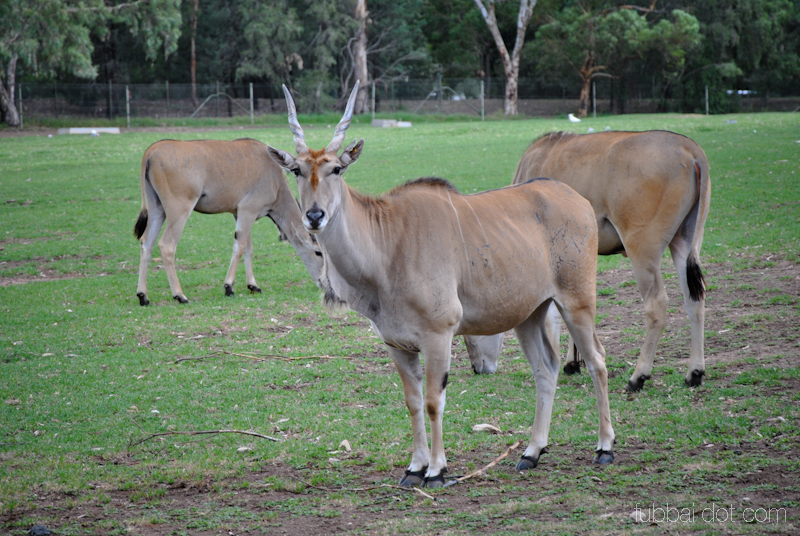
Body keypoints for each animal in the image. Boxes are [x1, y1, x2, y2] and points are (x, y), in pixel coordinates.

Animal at [133, 138, 323, 306]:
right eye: (318, 252)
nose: (323, 282)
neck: (276, 181)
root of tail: (151, 153)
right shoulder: (248, 210)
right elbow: (240, 247)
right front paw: (229, 287)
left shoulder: (239, 213)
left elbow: (248, 248)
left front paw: (253, 285)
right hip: (179, 211)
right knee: (166, 245)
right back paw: (180, 296)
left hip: (157, 209)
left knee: (146, 243)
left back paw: (143, 296)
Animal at [266, 82, 614, 488]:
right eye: (296, 170)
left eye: (337, 169)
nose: (314, 216)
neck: (387, 243)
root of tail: (576, 199)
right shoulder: (397, 345)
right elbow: (413, 402)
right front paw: (413, 468)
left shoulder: (438, 334)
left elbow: (434, 401)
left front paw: (435, 470)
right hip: (529, 314)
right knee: (546, 368)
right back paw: (531, 452)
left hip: (577, 301)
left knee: (597, 361)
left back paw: (604, 448)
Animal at [466, 130, 711, 392]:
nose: (477, 367)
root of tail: (690, 150)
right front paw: (573, 362)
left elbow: (554, 313)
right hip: (683, 243)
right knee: (694, 298)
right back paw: (694, 373)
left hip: (642, 250)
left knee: (657, 304)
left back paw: (638, 376)